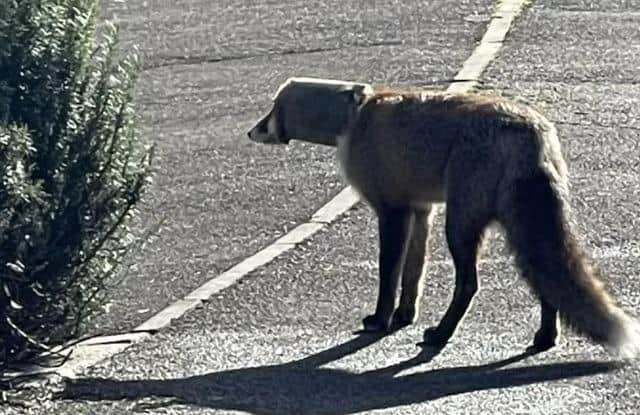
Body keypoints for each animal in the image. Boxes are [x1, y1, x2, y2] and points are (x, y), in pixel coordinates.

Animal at [246, 77, 640, 358]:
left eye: (271, 111)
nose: (250, 131)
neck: (355, 120)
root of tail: (532, 131)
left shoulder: (393, 210)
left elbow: (388, 276)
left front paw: (380, 321)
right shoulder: (421, 211)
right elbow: (413, 275)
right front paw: (404, 317)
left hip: (461, 224)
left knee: (469, 284)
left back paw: (440, 334)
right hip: (518, 226)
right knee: (546, 281)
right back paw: (544, 338)